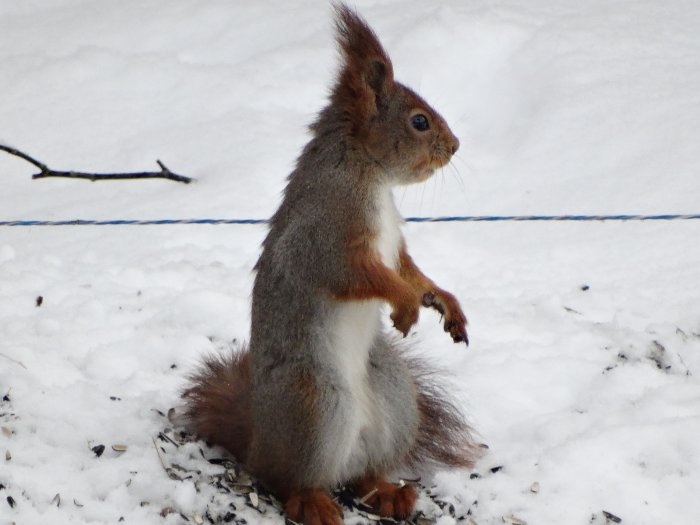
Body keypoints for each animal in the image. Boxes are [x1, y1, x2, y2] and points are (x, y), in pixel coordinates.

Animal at [183, 4, 482, 524]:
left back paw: (388, 491)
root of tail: (258, 442)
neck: (368, 172)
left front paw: (446, 302)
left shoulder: (393, 245)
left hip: (396, 397)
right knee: (287, 480)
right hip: (315, 401)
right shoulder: (326, 237)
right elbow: (362, 275)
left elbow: (410, 271)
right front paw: (406, 305)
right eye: (419, 121)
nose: (456, 145)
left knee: (362, 474)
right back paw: (314, 502)